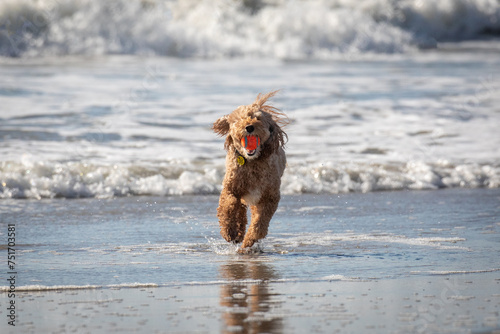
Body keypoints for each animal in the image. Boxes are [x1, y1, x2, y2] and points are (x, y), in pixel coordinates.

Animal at [212, 90, 290, 249]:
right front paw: (229, 231)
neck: (252, 162)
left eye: (258, 118)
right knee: (239, 209)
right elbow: (228, 207)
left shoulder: (269, 197)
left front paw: (249, 241)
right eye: (239, 119)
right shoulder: (230, 188)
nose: (249, 127)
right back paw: (237, 232)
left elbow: (260, 223)